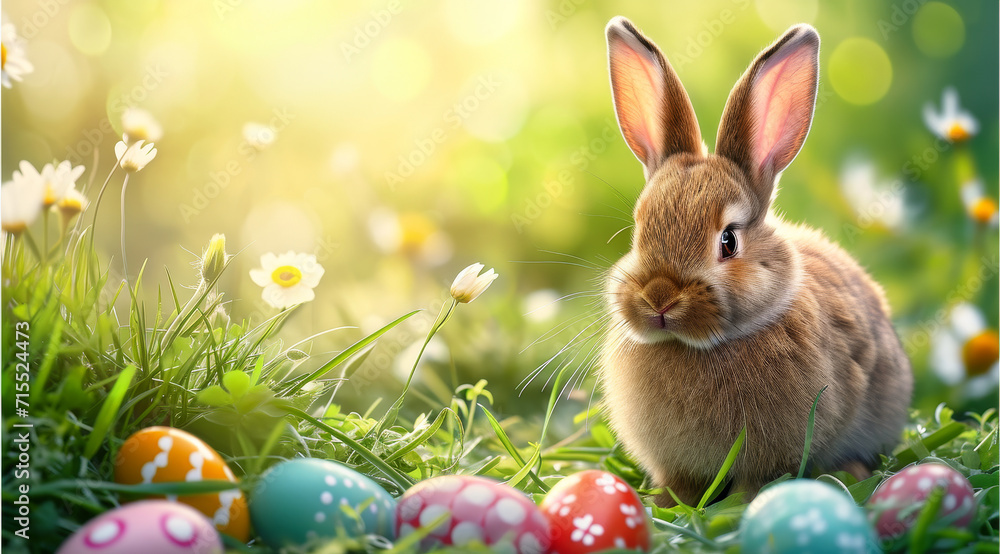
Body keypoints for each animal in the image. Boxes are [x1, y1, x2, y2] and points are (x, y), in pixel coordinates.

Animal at [598, 16, 913, 507]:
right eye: (638, 230)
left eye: (728, 241)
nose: (659, 297)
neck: (697, 347)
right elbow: (678, 485)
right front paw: (664, 504)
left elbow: (756, 484)